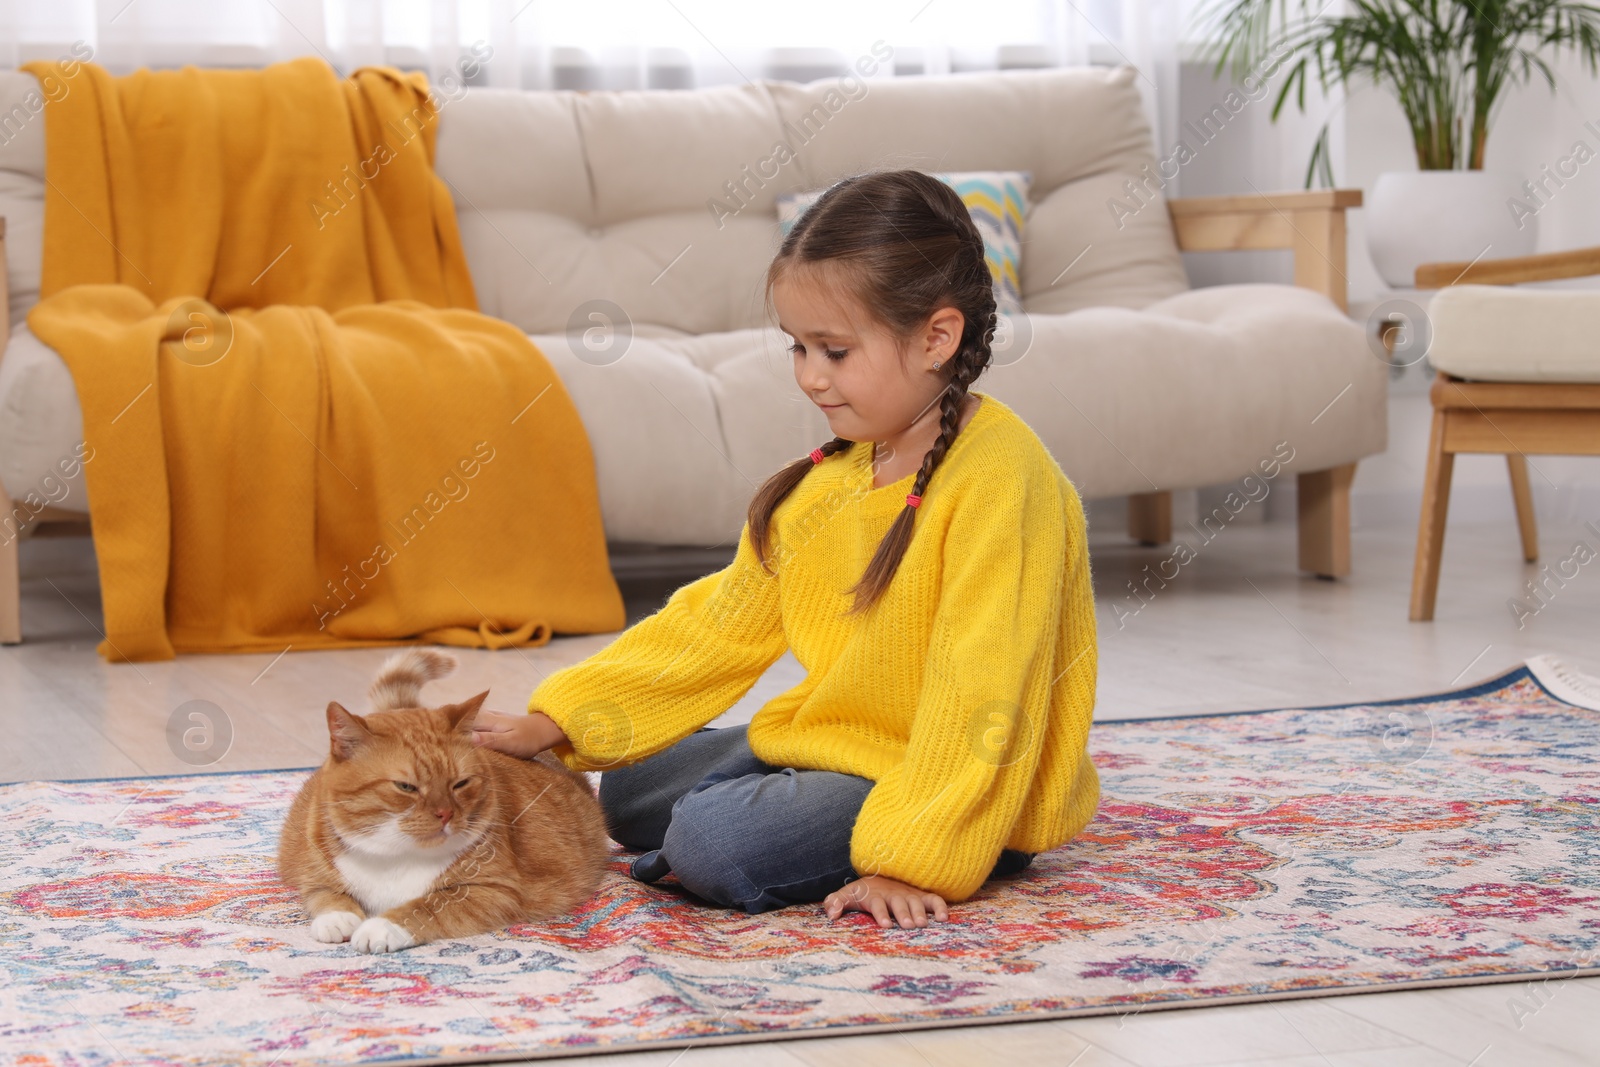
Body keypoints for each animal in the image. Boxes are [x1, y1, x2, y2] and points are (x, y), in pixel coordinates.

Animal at [278, 646, 608, 953]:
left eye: (460, 784)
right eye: (406, 787)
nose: (445, 814)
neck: (396, 855)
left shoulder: (495, 891)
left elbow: (428, 906)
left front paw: (380, 927)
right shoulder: (314, 867)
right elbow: (324, 893)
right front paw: (337, 918)